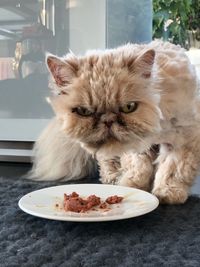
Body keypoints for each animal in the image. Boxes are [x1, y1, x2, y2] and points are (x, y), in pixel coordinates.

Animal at [29, 40, 200, 205]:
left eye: (129, 107)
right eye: (84, 111)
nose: (108, 120)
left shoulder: (184, 140)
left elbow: (173, 170)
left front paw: (167, 193)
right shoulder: (136, 146)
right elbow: (139, 168)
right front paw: (133, 186)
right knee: (107, 162)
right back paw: (113, 178)